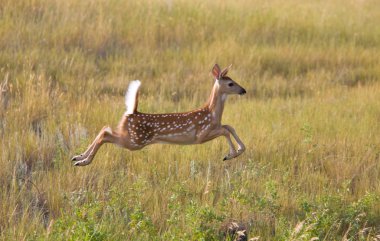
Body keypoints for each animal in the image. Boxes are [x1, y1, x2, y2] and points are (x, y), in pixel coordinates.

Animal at [72, 64, 246, 166]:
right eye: (230, 83)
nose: (243, 90)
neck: (212, 114)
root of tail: (132, 112)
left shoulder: (215, 127)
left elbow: (229, 127)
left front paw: (238, 151)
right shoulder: (201, 135)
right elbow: (225, 130)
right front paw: (230, 155)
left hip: (130, 136)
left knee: (105, 128)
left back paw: (78, 156)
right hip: (135, 141)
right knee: (105, 134)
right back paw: (84, 161)